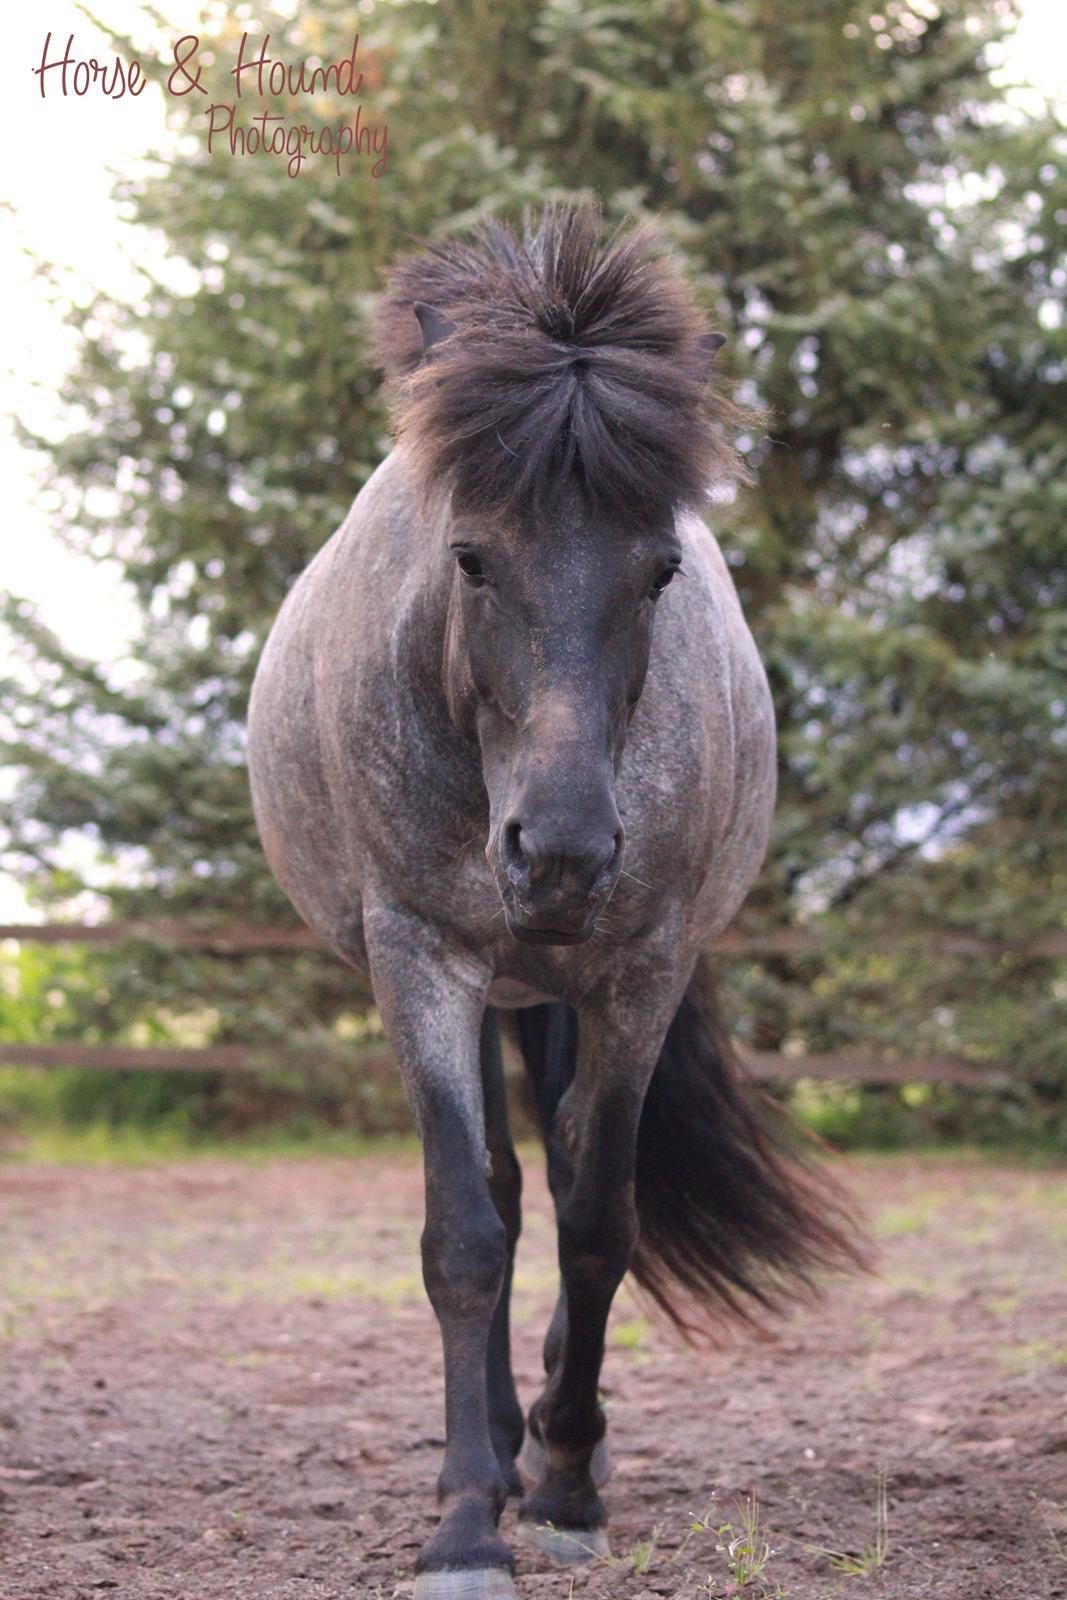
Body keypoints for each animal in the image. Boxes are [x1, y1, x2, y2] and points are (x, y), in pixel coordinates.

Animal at [247, 206, 857, 1593]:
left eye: (659, 570)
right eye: (471, 557)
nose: (563, 854)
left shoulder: (638, 968)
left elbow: (599, 1221)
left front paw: (571, 1478)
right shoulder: (419, 957)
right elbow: (466, 1233)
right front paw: (467, 1520)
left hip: (564, 984)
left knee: (569, 1168)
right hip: (484, 982)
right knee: (495, 1185)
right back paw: (485, 1450)